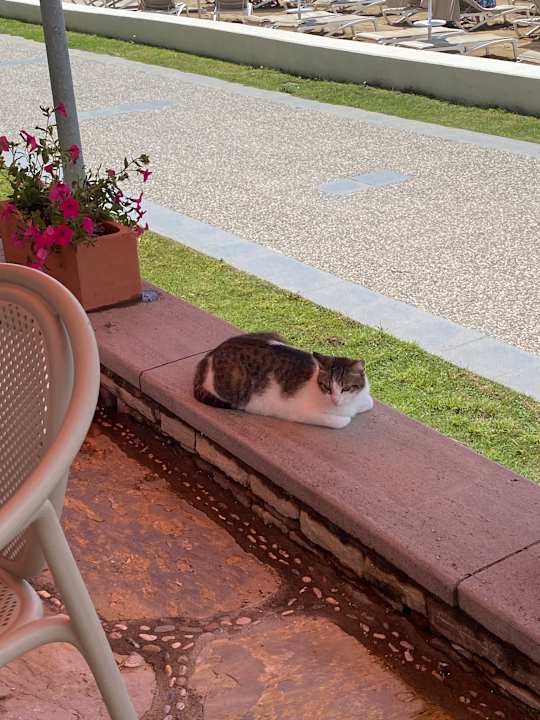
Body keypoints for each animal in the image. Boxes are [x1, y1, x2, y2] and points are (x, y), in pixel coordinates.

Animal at [193, 332, 373, 429]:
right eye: (327, 387)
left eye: (345, 388)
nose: (336, 399)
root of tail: (209, 355)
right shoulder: (302, 413)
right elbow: (343, 421)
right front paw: (347, 417)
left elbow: (369, 402)